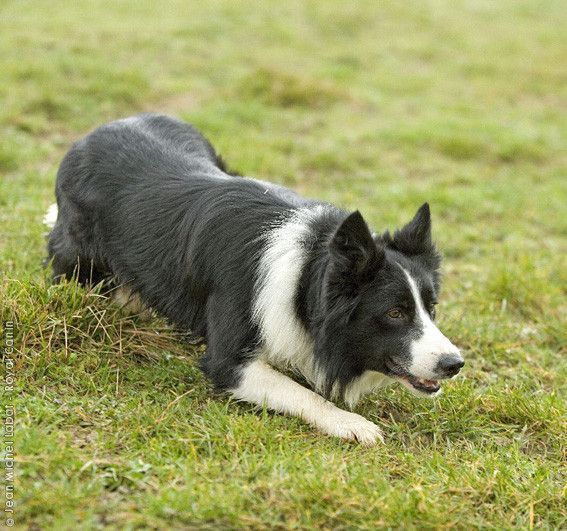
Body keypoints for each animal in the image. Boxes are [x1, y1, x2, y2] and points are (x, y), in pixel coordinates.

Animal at [44, 113, 464, 444]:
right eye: (395, 313)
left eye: (431, 308)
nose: (455, 364)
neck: (306, 273)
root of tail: (95, 132)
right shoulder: (229, 362)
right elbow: (302, 392)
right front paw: (351, 423)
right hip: (78, 259)